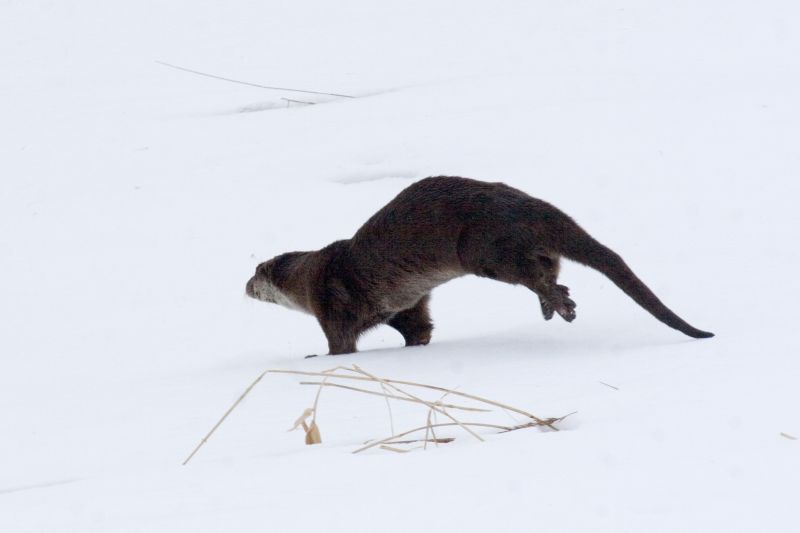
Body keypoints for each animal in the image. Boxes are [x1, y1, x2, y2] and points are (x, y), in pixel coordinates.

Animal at [247, 177, 716, 356]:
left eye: (253, 277)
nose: (244, 287)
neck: (309, 277)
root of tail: (530, 205)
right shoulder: (404, 303)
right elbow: (418, 327)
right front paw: (416, 346)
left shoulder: (333, 302)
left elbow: (339, 343)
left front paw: (316, 358)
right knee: (551, 265)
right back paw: (555, 304)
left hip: (482, 247)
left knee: (532, 271)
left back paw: (556, 302)